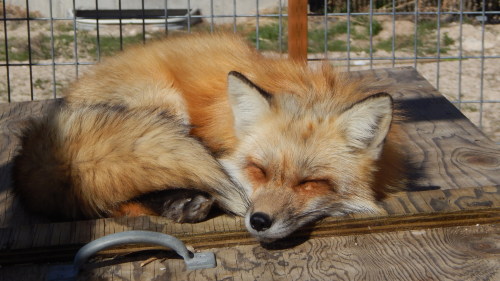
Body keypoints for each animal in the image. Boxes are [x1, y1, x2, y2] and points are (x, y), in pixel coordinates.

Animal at [12, 32, 406, 241]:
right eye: (258, 170)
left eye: (310, 182)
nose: (258, 221)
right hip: (165, 106)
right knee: (111, 194)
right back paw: (182, 203)